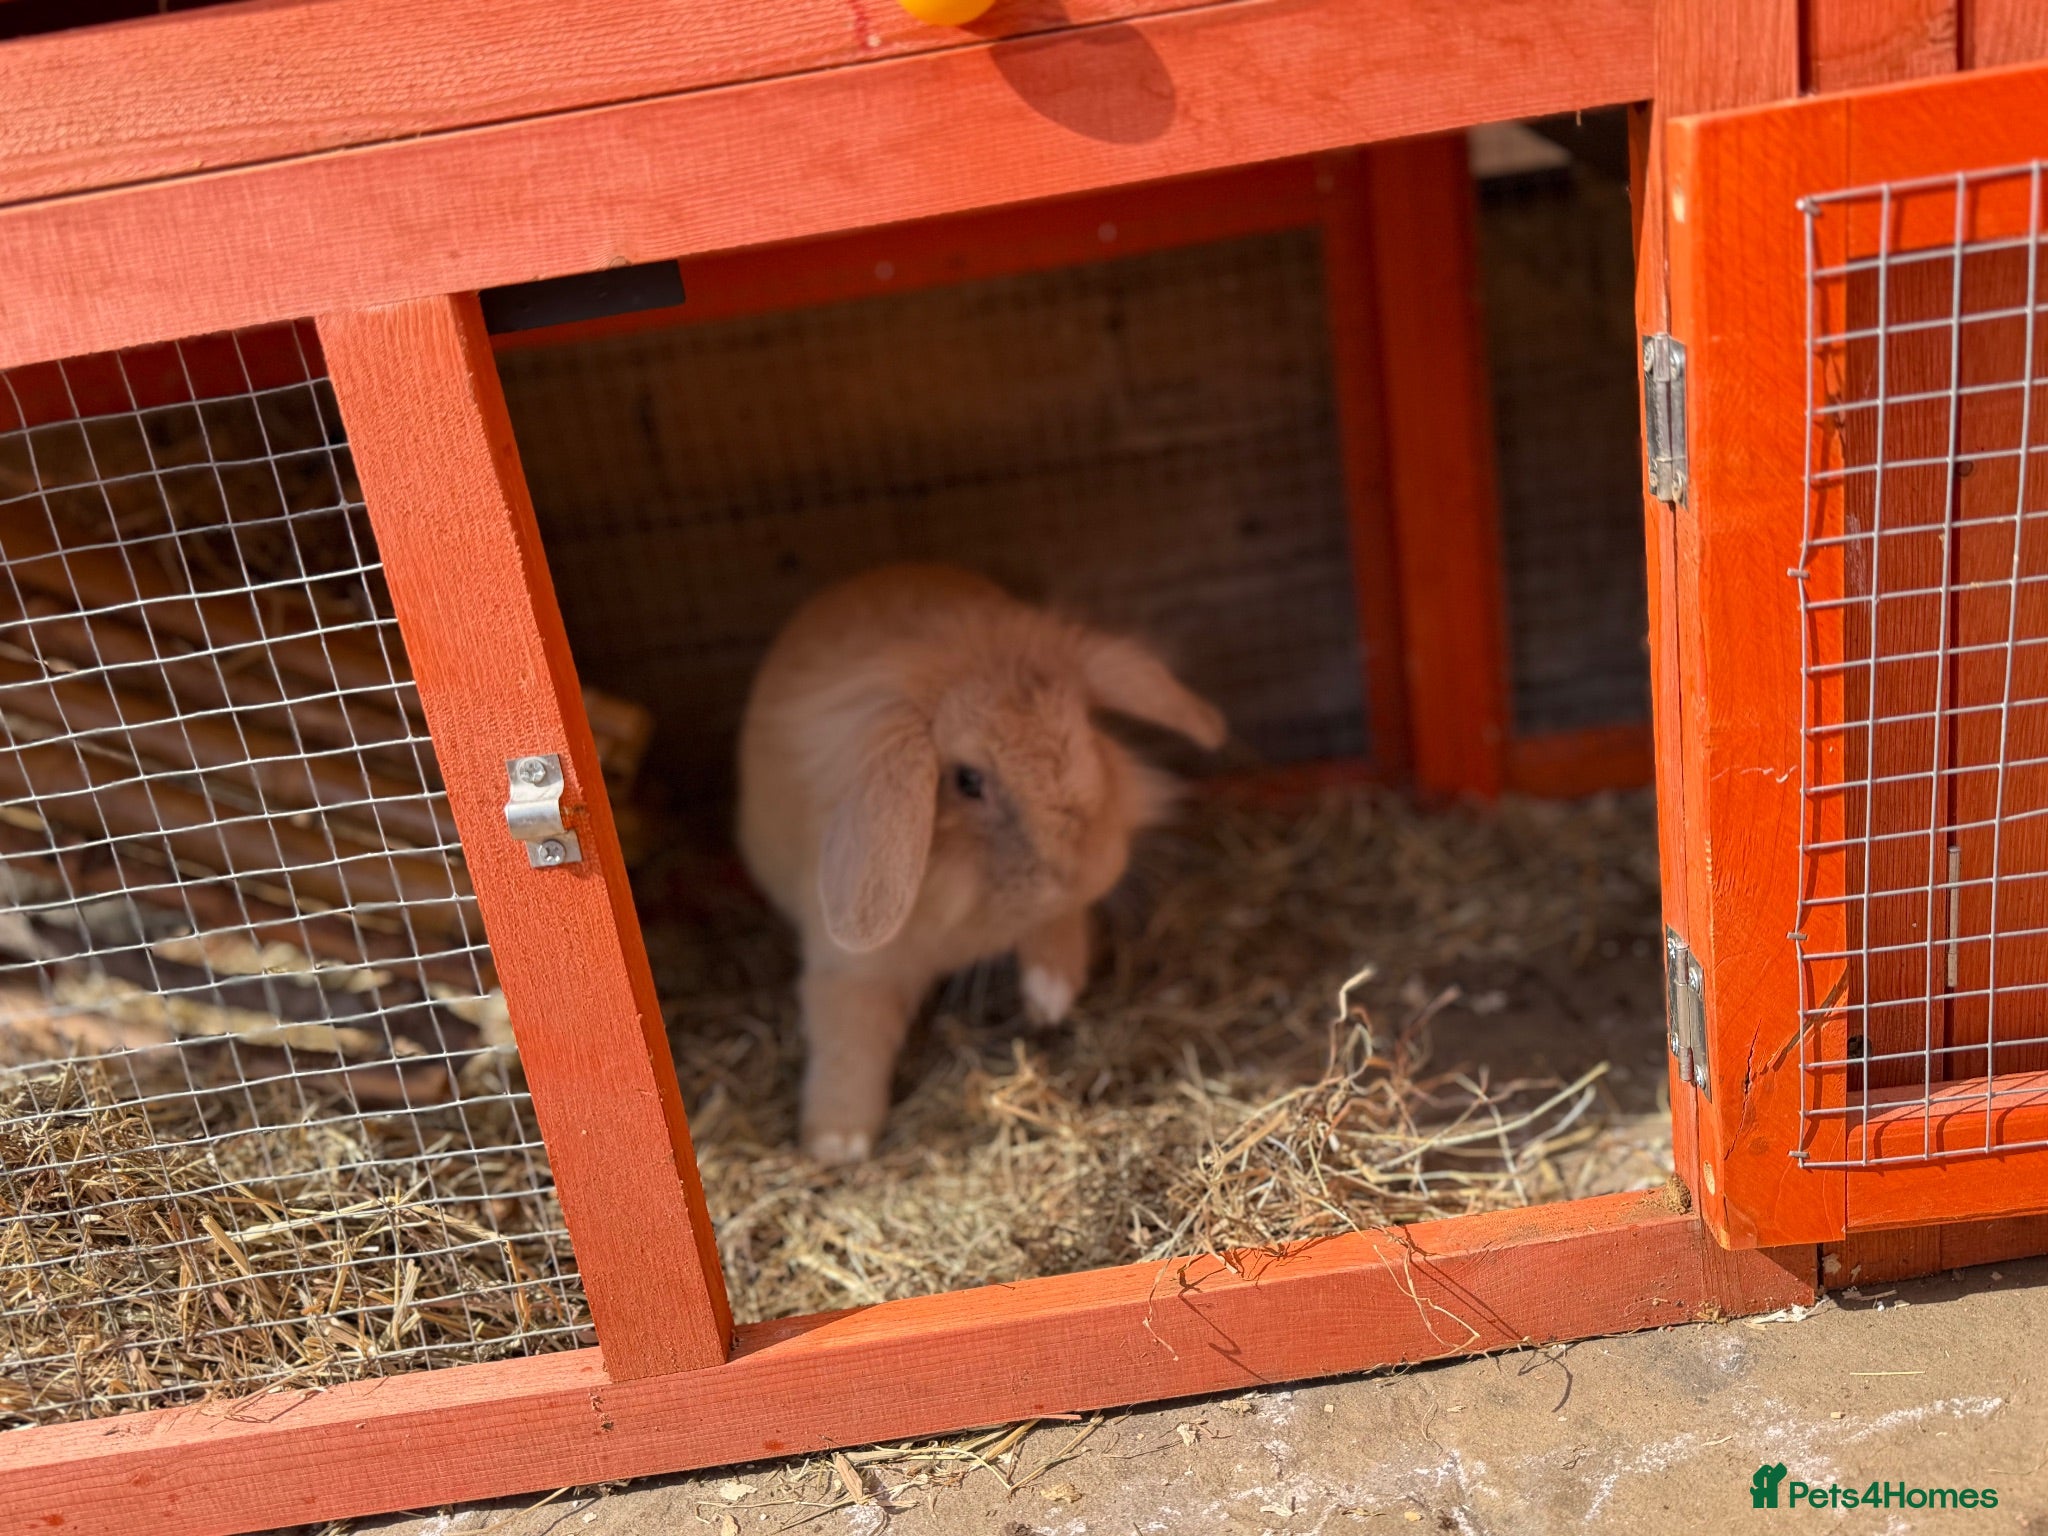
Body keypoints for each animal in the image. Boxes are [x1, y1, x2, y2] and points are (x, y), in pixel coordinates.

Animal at [736, 564, 1227, 1164]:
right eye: (968, 780)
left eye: (1090, 727)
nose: (1087, 871)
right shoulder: (851, 967)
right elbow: (848, 1036)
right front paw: (838, 1143)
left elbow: (1057, 927)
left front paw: (1049, 1001)